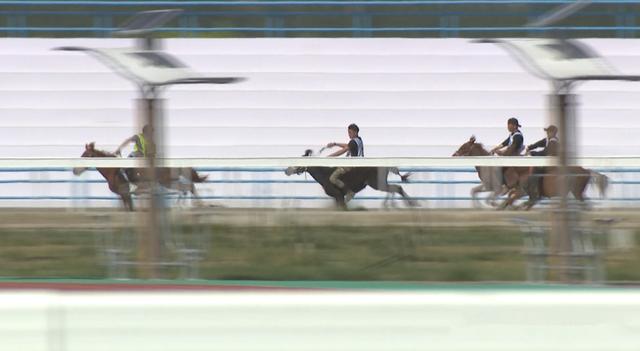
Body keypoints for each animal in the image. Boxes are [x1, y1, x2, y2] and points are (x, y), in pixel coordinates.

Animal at [284, 148, 416, 209]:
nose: (287, 170)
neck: (325, 174)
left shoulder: (338, 196)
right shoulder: (337, 198)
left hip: (377, 183)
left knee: (396, 188)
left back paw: (408, 204)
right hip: (380, 183)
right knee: (395, 188)